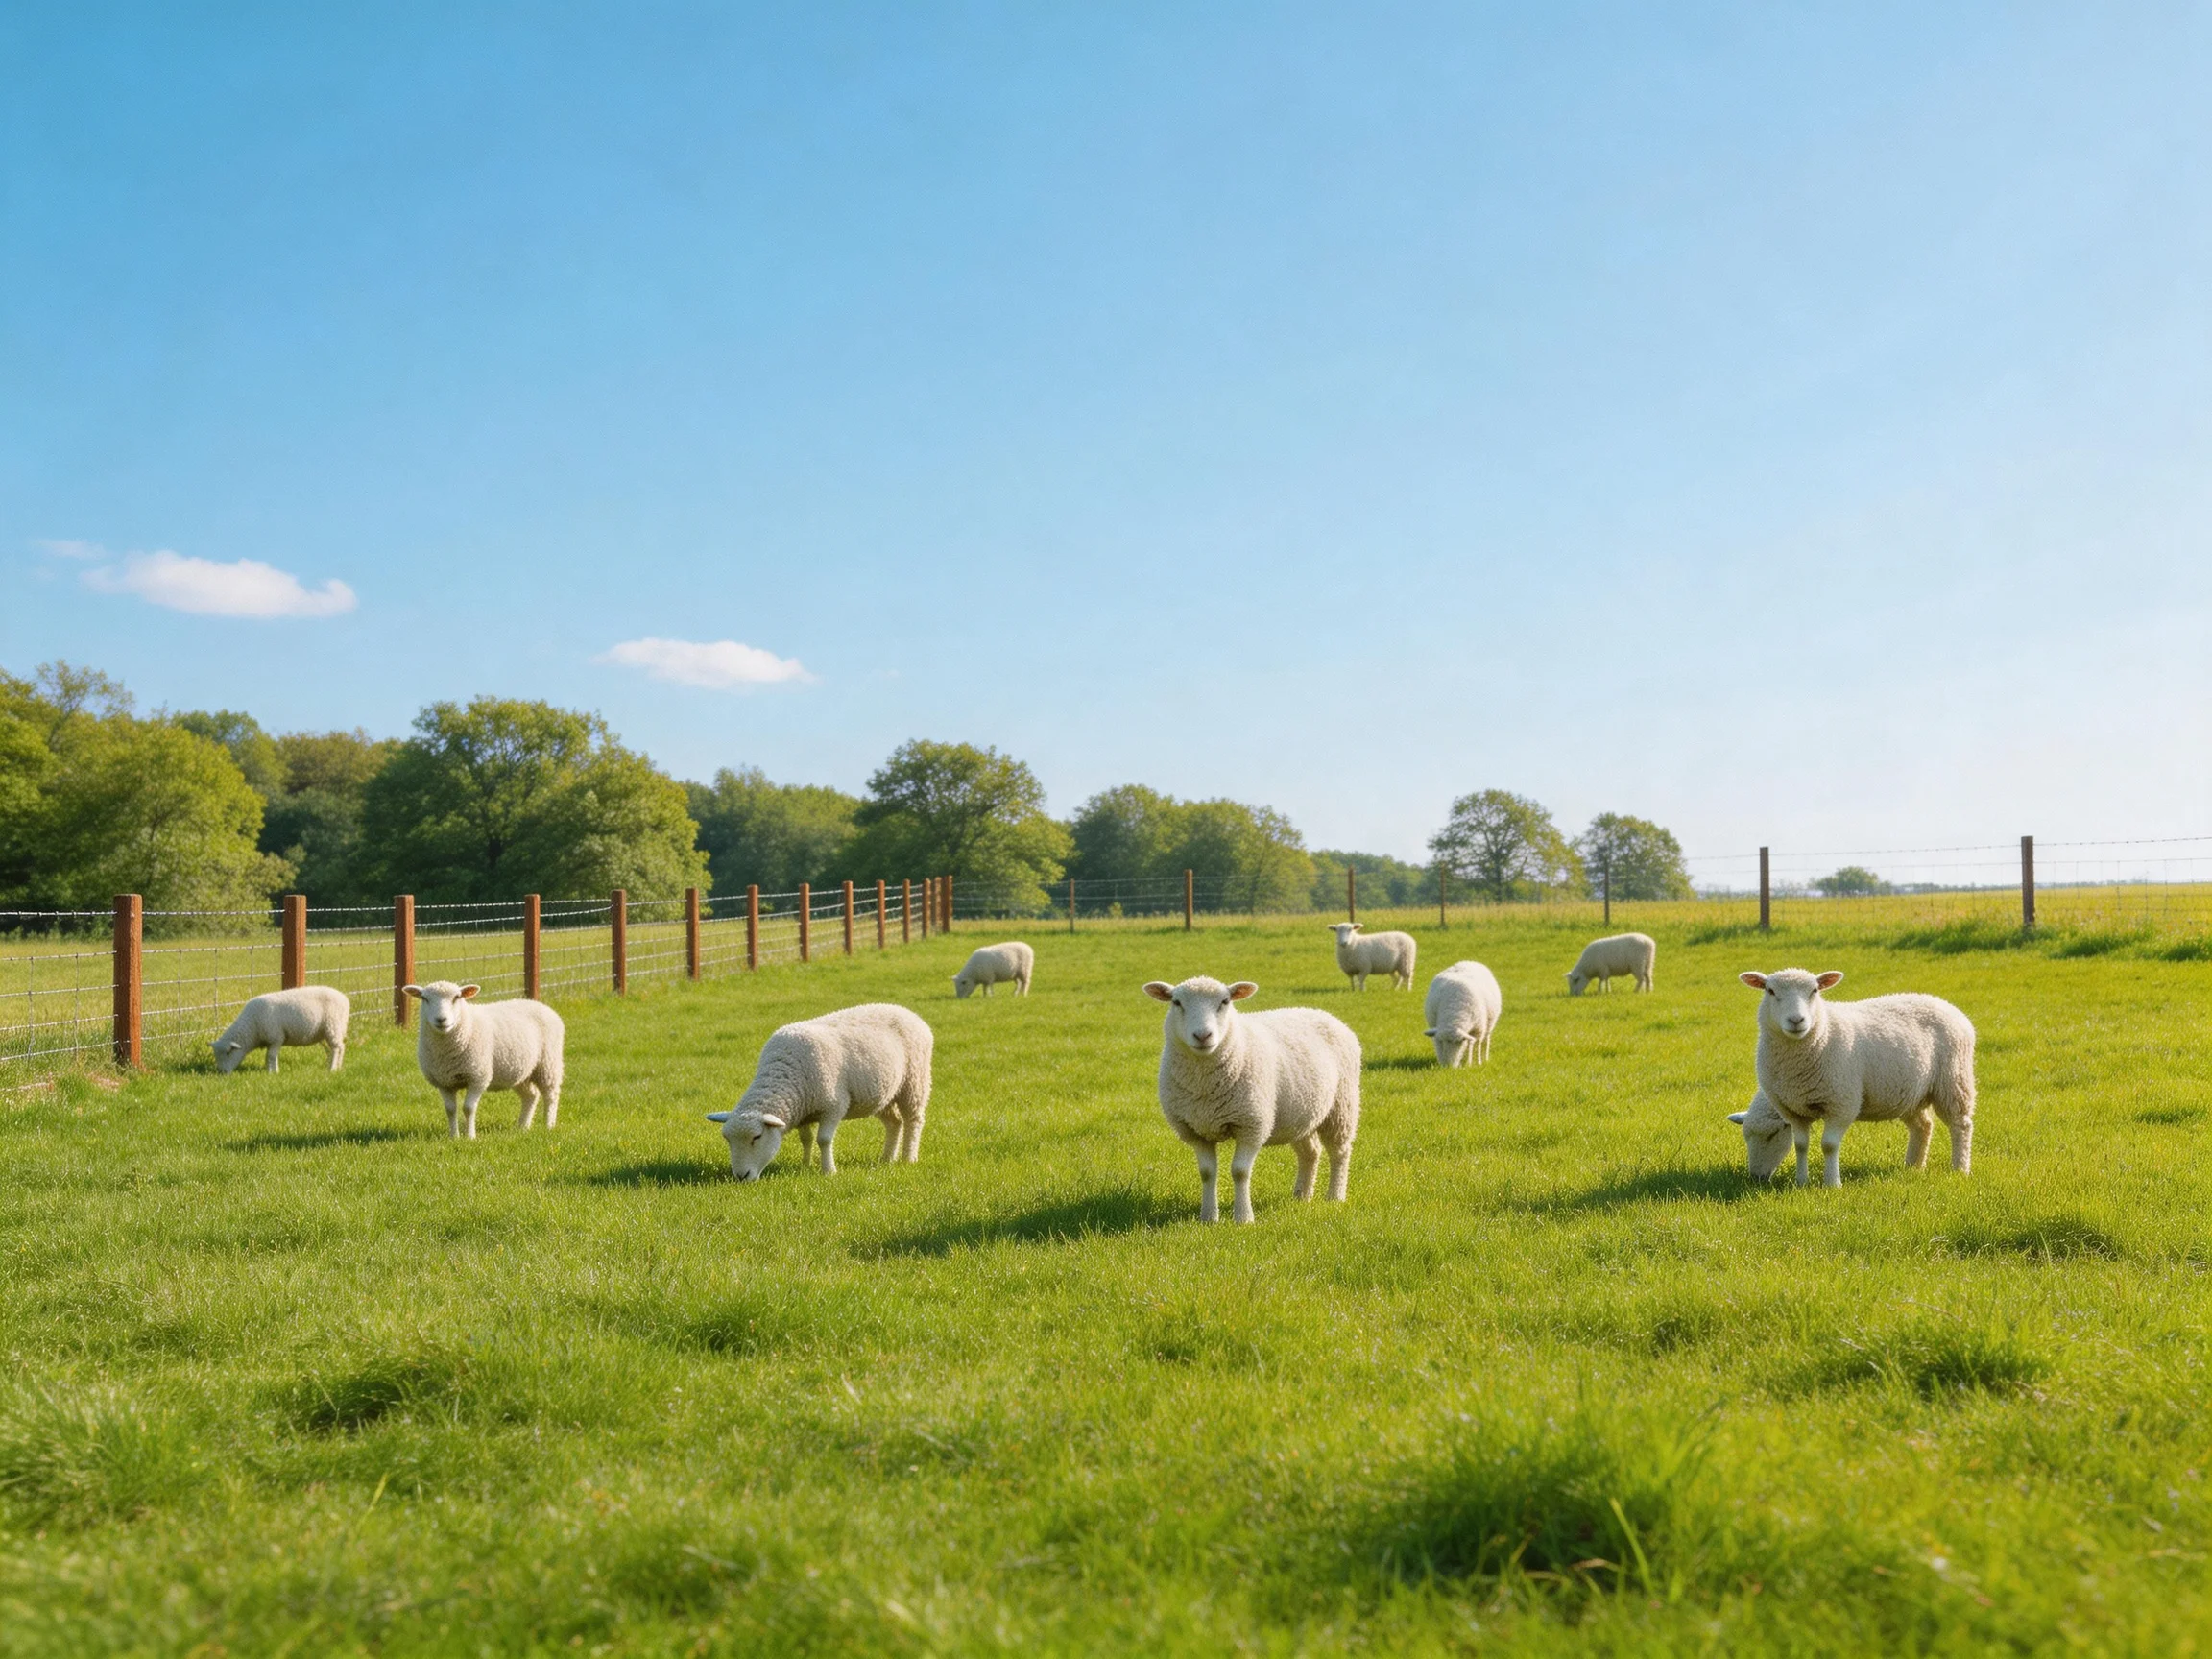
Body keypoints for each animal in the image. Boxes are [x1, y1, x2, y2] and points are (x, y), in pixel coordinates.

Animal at [210, 985, 351, 1074]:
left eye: (228, 1053)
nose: (222, 1073)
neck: (252, 1027)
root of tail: (344, 998)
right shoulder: (271, 1040)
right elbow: (269, 1056)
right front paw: (269, 1070)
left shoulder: (276, 1037)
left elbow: (271, 1056)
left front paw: (274, 1072)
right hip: (326, 1031)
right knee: (336, 1048)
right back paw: (336, 1066)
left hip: (333, 1026)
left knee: (337, 1048)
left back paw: (332, 1069)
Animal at [401, 981, 565, 1139]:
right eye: (424, 998)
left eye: (457, 997)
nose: (441, 1019)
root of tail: (539, 1004)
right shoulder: (444, 1081)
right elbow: (450, 1109)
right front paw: (454, 1137)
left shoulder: (478, 1077)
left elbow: (468, 1108)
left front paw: (470, 1137)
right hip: (518, 1071)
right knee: (531, 1095)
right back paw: (523, 1126)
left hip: (548, 1064)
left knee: (551, 1095)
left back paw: (549, 1125)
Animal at [706, 1003, 933, 1181]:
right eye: (727, 1139)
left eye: (757, 1137)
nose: (741, 1176)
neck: (786, 1074)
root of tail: (910, 1013)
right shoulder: (802, 1111)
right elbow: (806, 1139)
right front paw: (805, 1165)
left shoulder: (834, 1106)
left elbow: (823, 1140)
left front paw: (829, 1171)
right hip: (882, 1093)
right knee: (894, 1123)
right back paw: (887, 1158)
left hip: (914, 1082)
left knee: (913, 1120)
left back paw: (908, 1158)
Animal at [1143, 976, 1361, 1223]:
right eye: (1177, 1002)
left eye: (1225, 1002)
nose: (1203, 1036)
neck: (1205, 1087)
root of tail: (1323, 1014)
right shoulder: (1196, 1130)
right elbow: (1207, 1173)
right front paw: (1208, 1218)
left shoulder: (1251, 1125)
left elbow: (1240, 1172)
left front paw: (1243, 1218)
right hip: (1300, 1113)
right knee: (1310, 1152)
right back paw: (1302, 1195)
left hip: (1342, 1106)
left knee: (1339, 1152)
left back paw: (1335, 1196)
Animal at [1728, 968, 1976, 1188]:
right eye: (1770, 990)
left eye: (1815, 990)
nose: (1796, 1020)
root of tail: (1944, 1004)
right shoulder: (1791, 1109)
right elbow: (1801, 1145)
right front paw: (1801, 1182)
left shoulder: (1842, 1103)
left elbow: (1829, 1145)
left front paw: (1832, 1183)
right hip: (1908, 1092)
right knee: (1923, 1126)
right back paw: (1912, 1167)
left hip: (1953, 1080)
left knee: (1960, 1125)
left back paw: (1960, 1169)